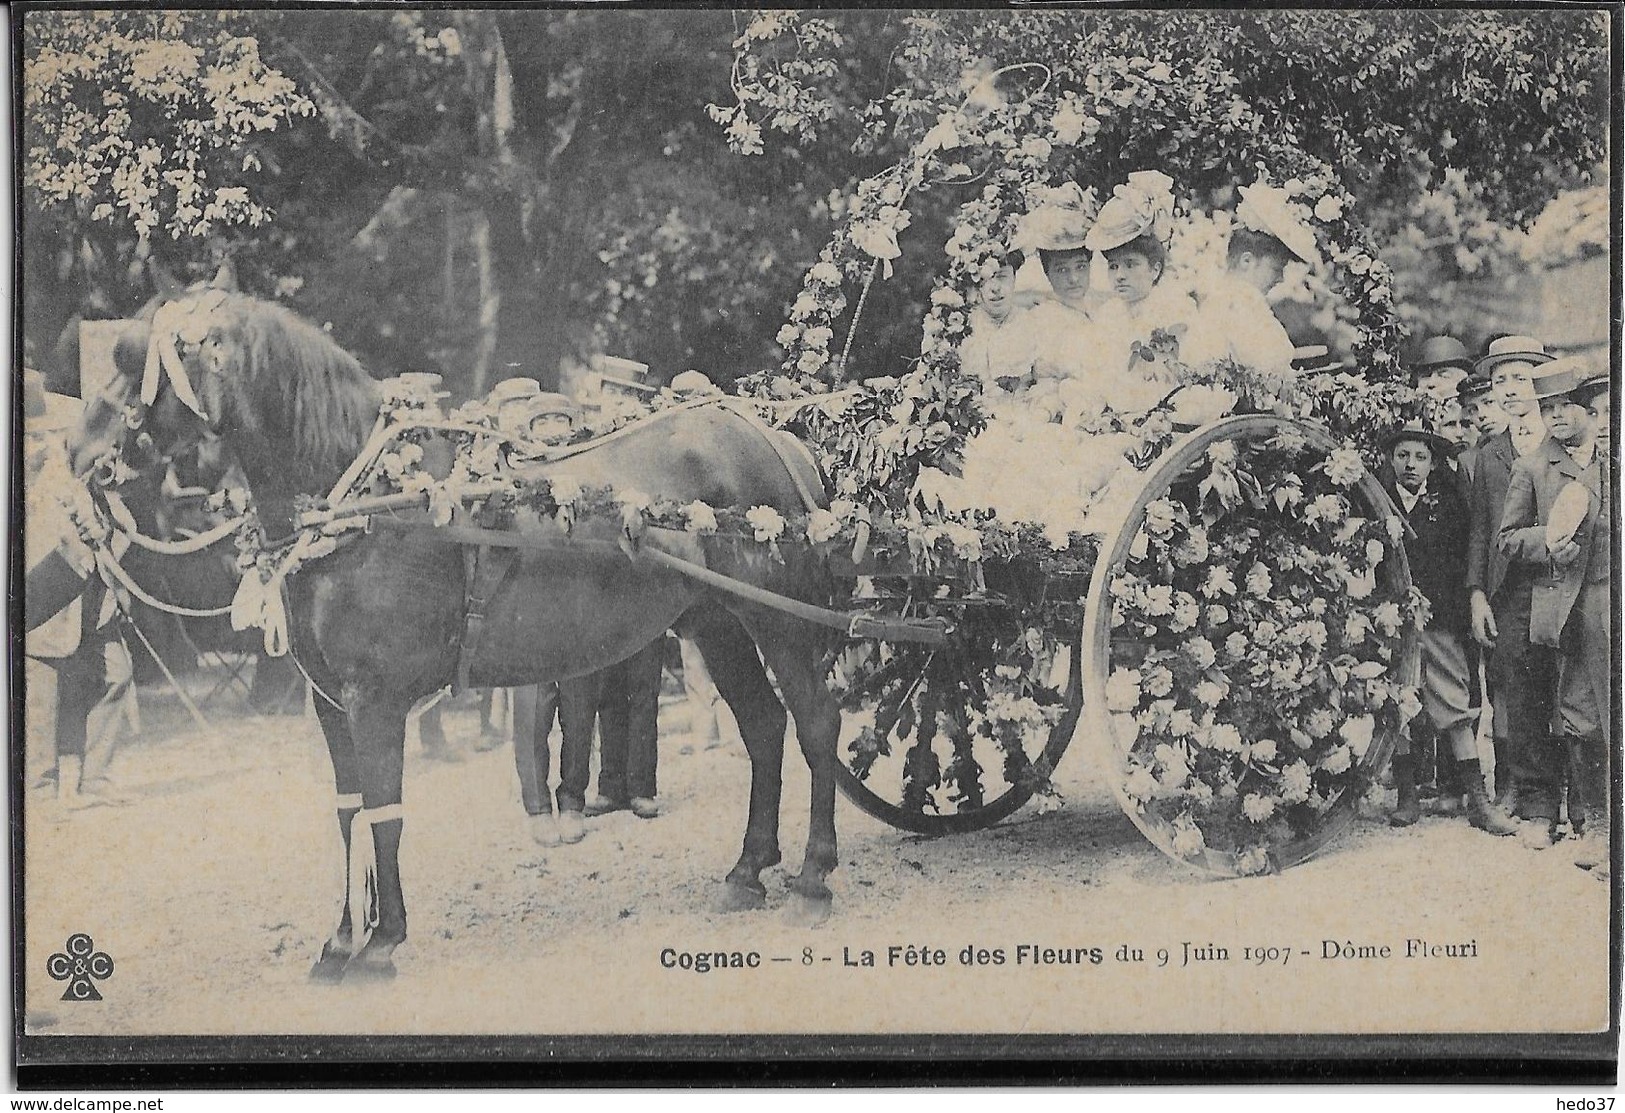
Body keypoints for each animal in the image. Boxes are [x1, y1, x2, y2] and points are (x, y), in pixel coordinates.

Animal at [69, 289, 845, 981]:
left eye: (137, 365)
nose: (79, 458)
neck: (369, 500)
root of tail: (775, 437)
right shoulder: (330, 702)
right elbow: (349, 811)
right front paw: (340, 940)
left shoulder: (375, 699)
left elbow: (385, 812)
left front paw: (381, 943)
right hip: (717, 622)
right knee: (764, 727)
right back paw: (747, 870)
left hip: (778, 619)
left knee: (814, 726)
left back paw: (813, 878)